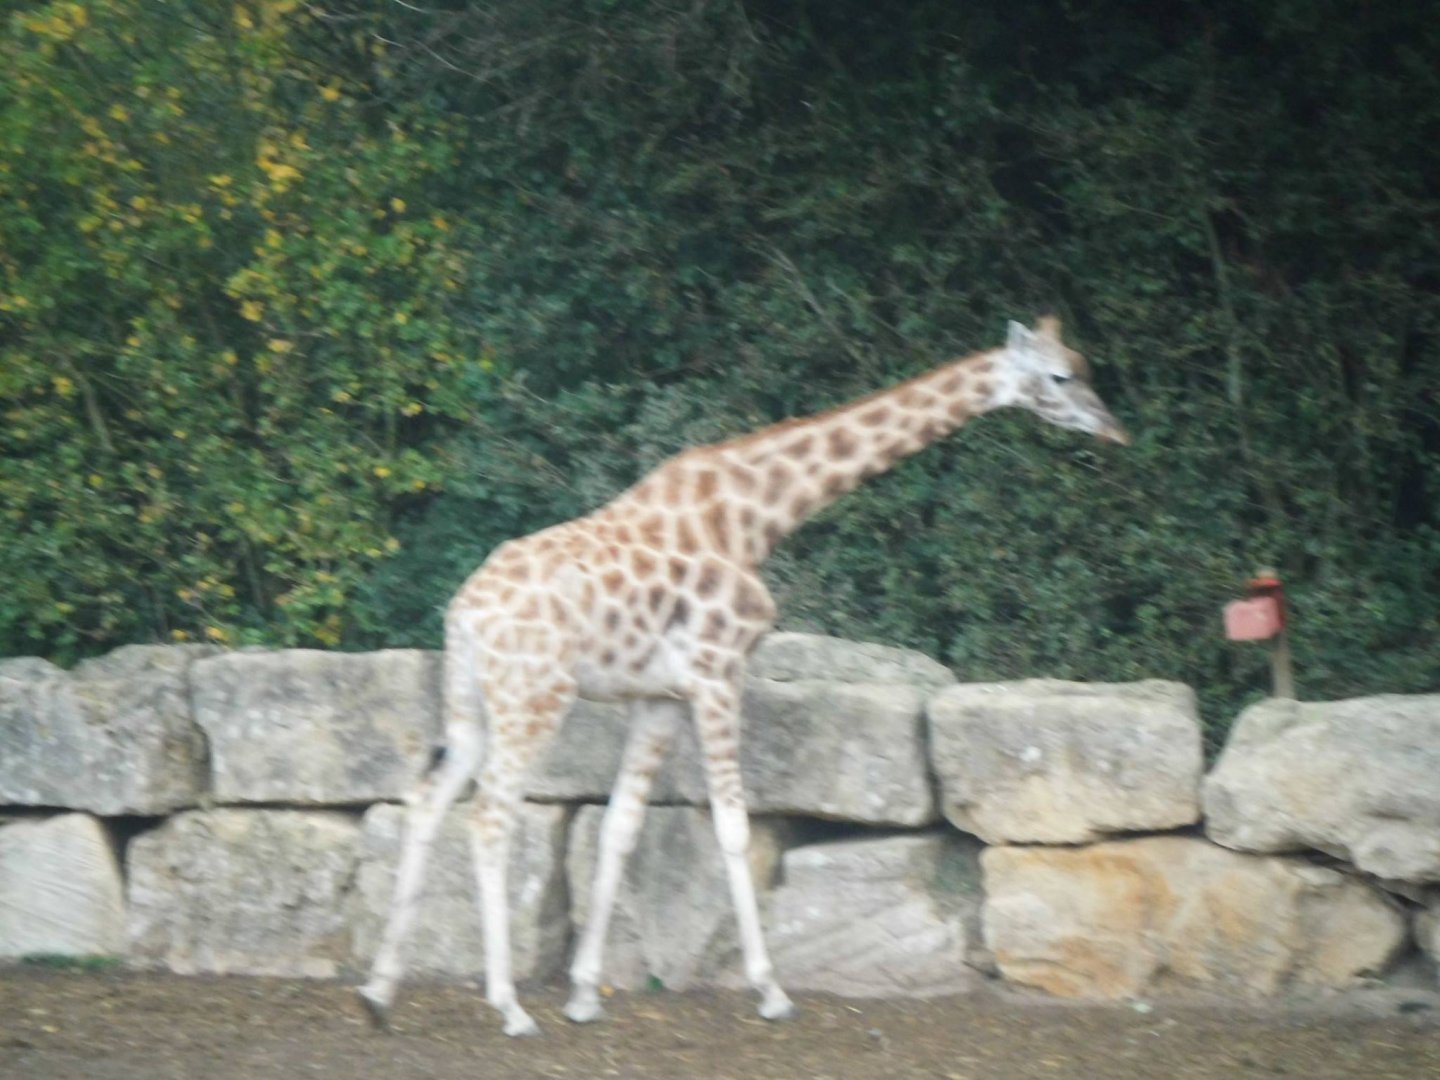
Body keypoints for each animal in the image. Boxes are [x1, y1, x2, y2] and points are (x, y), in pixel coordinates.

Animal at [358, 315, 1129, 1036]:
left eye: (1086, 365)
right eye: (1059, 376)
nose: (1114, 429)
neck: (753, 517)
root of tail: (464, 613)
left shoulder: (659, 697)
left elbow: (619, 828)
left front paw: (583, 995)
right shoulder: (717, 672)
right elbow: (731, 828)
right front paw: (771, 990)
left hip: (471, 701)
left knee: (427, 802)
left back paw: (379, 992)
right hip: (535, 696)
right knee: (490, 817)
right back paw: (509, 1007)